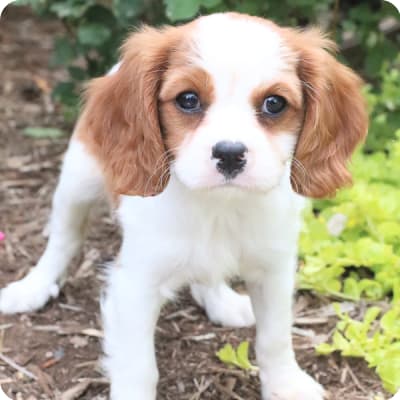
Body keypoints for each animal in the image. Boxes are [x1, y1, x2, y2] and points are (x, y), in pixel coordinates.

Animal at [0, 12, 368, 400]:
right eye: (188, 99)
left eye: (275, 103)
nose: (230, 153)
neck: (218, 205)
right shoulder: (135, 285)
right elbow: (139, 367)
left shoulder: (275, 271)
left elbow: (275, 337)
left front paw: (286, 384)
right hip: (77, 181)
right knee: (63, 240)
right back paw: (31, 289)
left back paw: (221, 301)